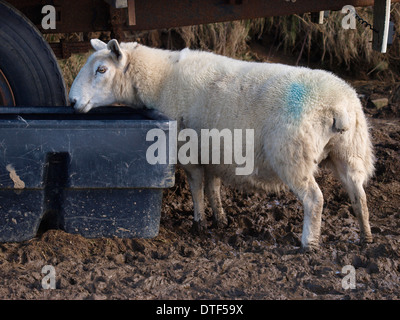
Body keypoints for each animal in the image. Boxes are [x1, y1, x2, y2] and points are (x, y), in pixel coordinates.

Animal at [69, 39, 376, 250]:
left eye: (101, 69)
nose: (71, 102)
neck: (159, 79)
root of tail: (342, 107)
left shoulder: (187, 150)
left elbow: (196, 187)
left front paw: (199, 222)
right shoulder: (214, 152)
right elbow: (213, 187)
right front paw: (220, 219)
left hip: (293, 155)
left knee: (315, 199)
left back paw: (308, 243)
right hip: (349, 153)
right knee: (358, 195)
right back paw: (366, 237)